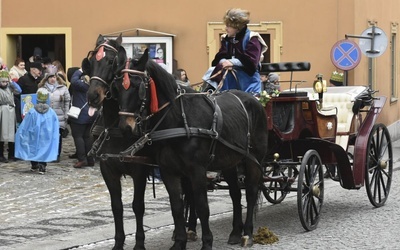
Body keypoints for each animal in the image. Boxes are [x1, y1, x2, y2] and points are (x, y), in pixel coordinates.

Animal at [85, 34, 151, 250]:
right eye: (91, 62)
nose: (92, 96)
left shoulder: (140, 170)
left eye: (111, 62)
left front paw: (139, 243)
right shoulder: (108, 169)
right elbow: (117, 207)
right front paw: (118, 242)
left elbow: (138, 206)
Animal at [111, 51, 268, 249]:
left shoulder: (197, 170)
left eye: (138, 86)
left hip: (253, 159)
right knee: (236, 194)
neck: (178, 120)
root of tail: (255, 101)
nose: (125, 127)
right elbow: (177, 206)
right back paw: (234, 232)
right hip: (230, 163)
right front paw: (179, 242)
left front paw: (207, 242)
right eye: (116, 87)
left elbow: (202, 207)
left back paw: (247, 233)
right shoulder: (169, 171)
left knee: (251, 192)